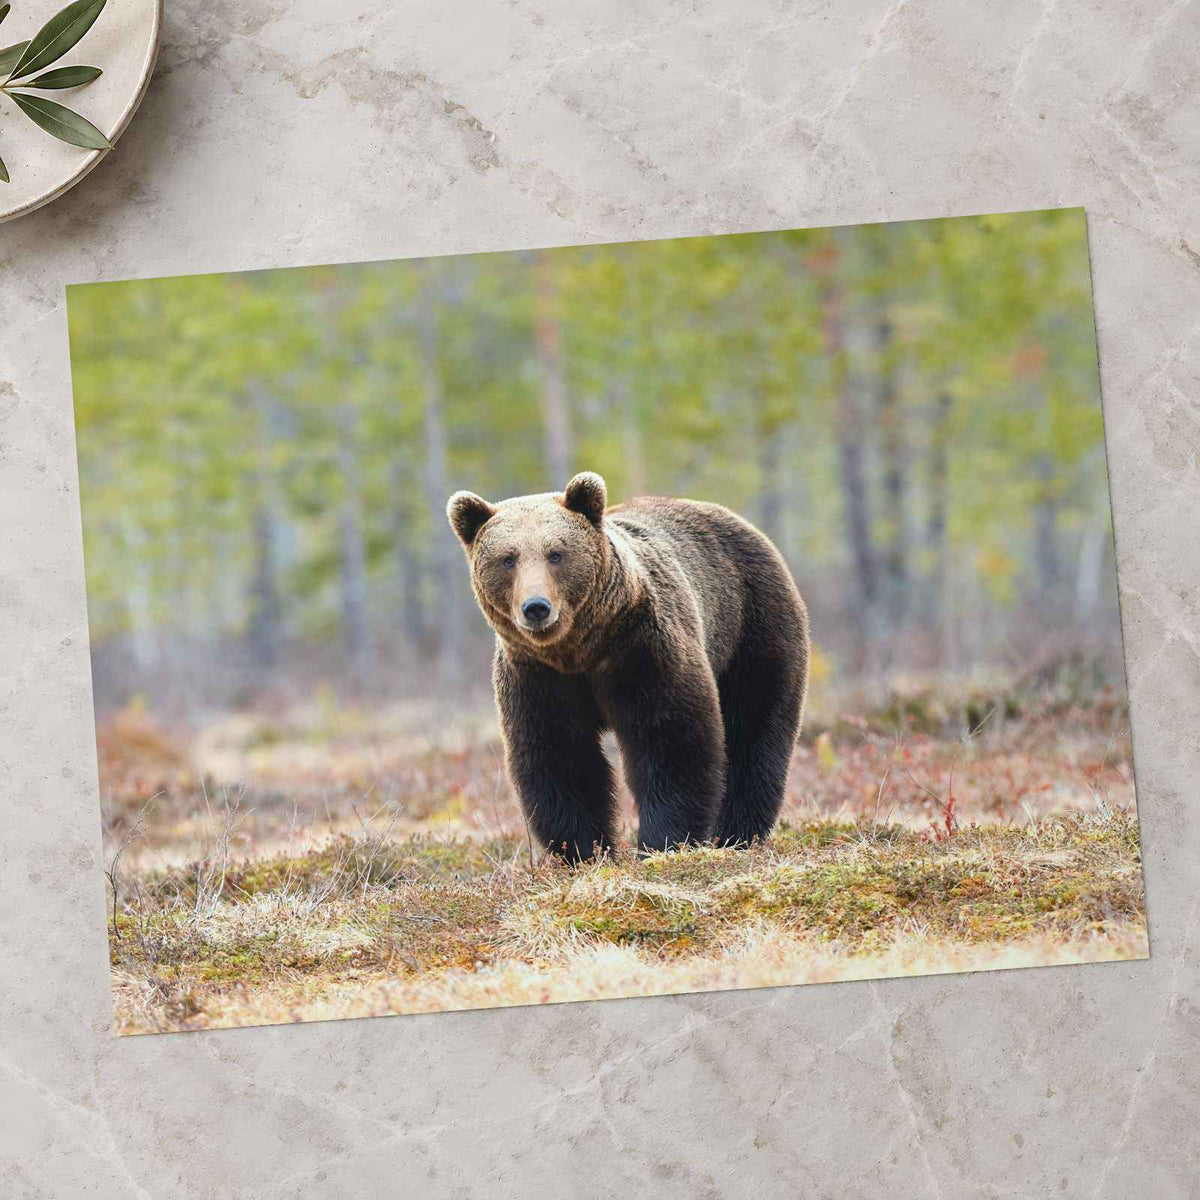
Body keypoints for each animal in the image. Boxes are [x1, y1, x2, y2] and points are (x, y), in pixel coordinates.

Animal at [446, 471, 809, 861]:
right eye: (508, 559)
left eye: (556, 553)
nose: (536, 607)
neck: (581, 648)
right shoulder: (538, 675)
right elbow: (558, 755)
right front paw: (583, 849)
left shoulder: (641, 648)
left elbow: (669, 740)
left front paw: (663, 841)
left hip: (752, 623)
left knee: (754, 726)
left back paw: (738, 832)